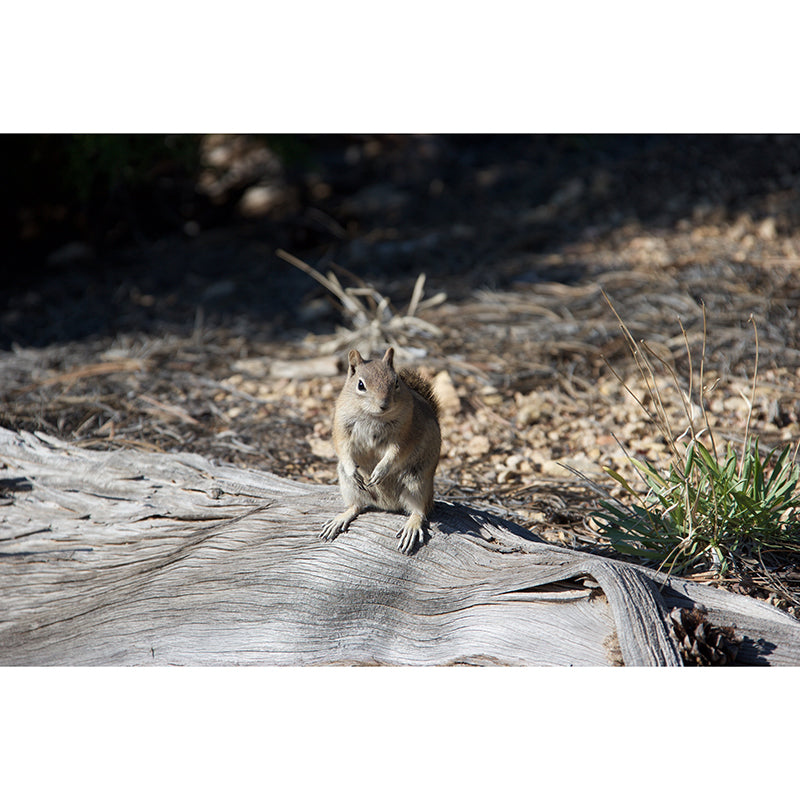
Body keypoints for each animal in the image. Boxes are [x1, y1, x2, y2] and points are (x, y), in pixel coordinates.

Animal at [321, 347, 441, 554]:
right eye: (361, 385)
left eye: (396, 382)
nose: (384, 404)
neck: (373, 416)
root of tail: (388, 505)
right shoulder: (341, 425)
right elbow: (342, 447)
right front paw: (354, 469)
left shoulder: (407, 432)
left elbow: (397, 452)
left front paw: (380, 471)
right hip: (348, 485)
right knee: (356, 506)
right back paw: (341, 518)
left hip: (417, 482)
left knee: (420, 511)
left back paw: (411, 526)